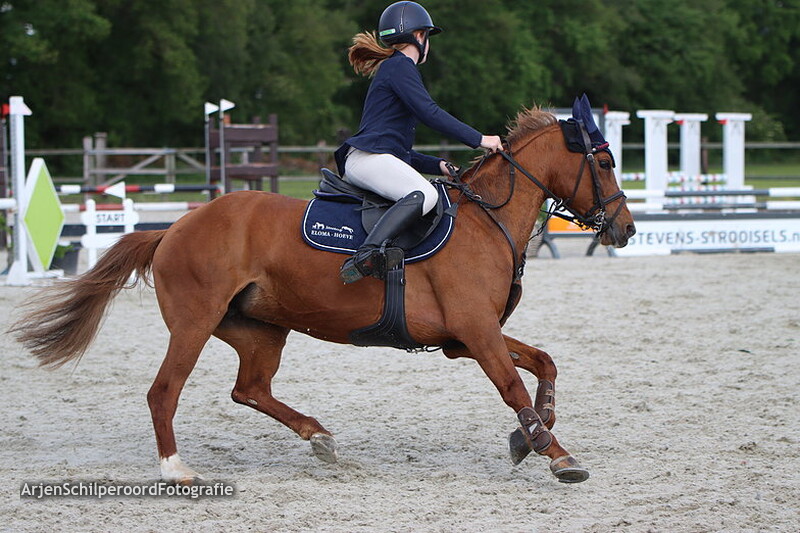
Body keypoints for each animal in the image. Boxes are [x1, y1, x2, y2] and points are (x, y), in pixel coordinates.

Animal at [11, 103, 635, 485]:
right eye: (604, 161)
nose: (626, 230)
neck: (489, 220)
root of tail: (176, 226)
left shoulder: (466, 337)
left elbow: (544, 364)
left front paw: (529, 437)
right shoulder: (476, 334)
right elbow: (513, 386)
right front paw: (558, 457)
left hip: (260, 329)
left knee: (250, 389)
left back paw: (319, 438)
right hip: (194, 323)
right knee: (165, 391)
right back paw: (175, 470)